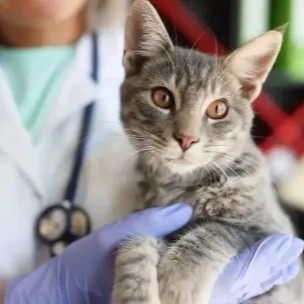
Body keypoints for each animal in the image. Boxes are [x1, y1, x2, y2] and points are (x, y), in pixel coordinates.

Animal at [112, 0, 304, 304]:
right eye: (162, 97)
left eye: (218, 109)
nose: (186, 138)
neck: (182, 186)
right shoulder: (145, 215)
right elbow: (134, 241)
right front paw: (134, 292)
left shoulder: (275, 237)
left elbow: (216, 231)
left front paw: (178, 281)